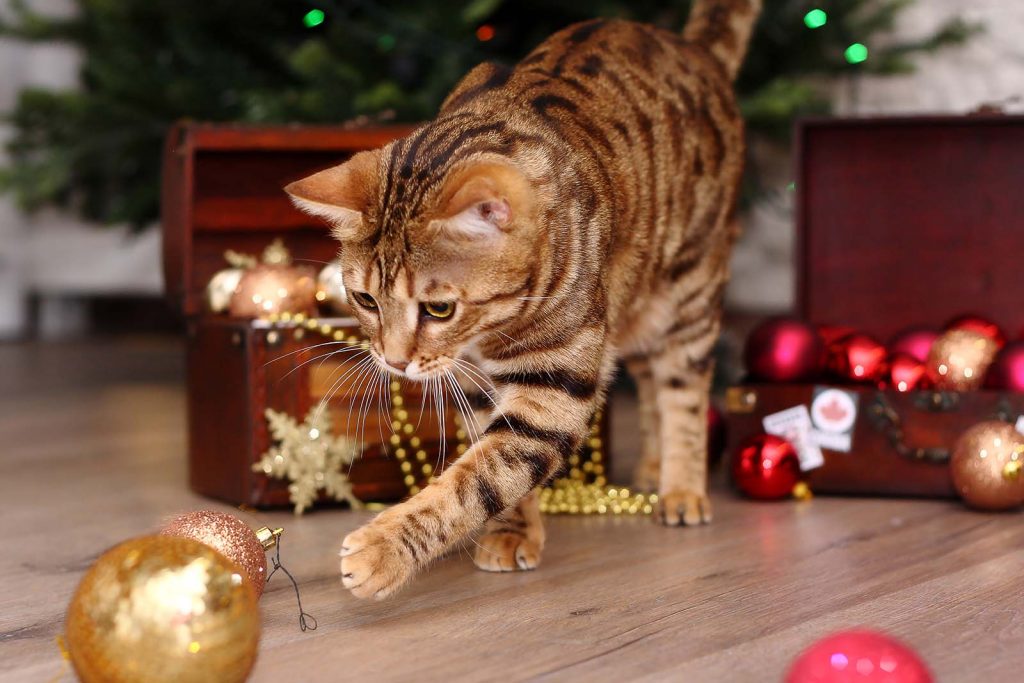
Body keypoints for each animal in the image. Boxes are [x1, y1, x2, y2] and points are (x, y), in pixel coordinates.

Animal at [284, 0, 765, 598]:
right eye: (365, 300)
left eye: (439, 308)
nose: (394, 362)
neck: (487, 333)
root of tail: (693, 48)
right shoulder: (475, 383)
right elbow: (492, 465)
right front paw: (514, 532)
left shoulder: (557, 388)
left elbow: (479, 478)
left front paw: (383, 550)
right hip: (633, 311)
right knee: (652, 381)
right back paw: (653, 468)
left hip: (688, 294)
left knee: (685, 389)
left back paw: (681, 488)